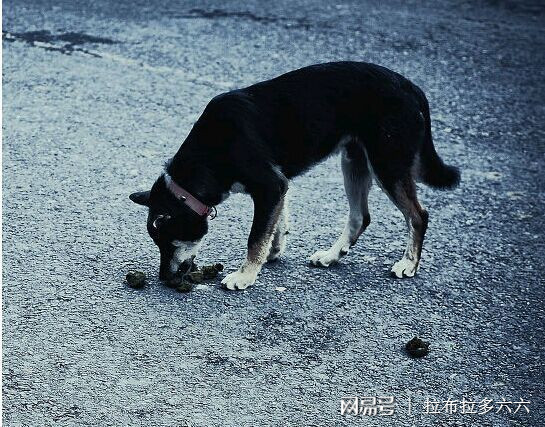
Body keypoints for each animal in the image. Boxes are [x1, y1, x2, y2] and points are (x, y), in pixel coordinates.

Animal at [131, 61, 460, 290]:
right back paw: (331, 255)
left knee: (418, 215)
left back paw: (409, 264)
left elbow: (255, 236)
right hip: (354, 161)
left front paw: (246, 275)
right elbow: (275, 224)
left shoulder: (270, 186)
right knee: (360, 217)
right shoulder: (278, 186)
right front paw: (272, 252)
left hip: (387, 164)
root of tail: (410, 87)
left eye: (169, 243)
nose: (163, 278)